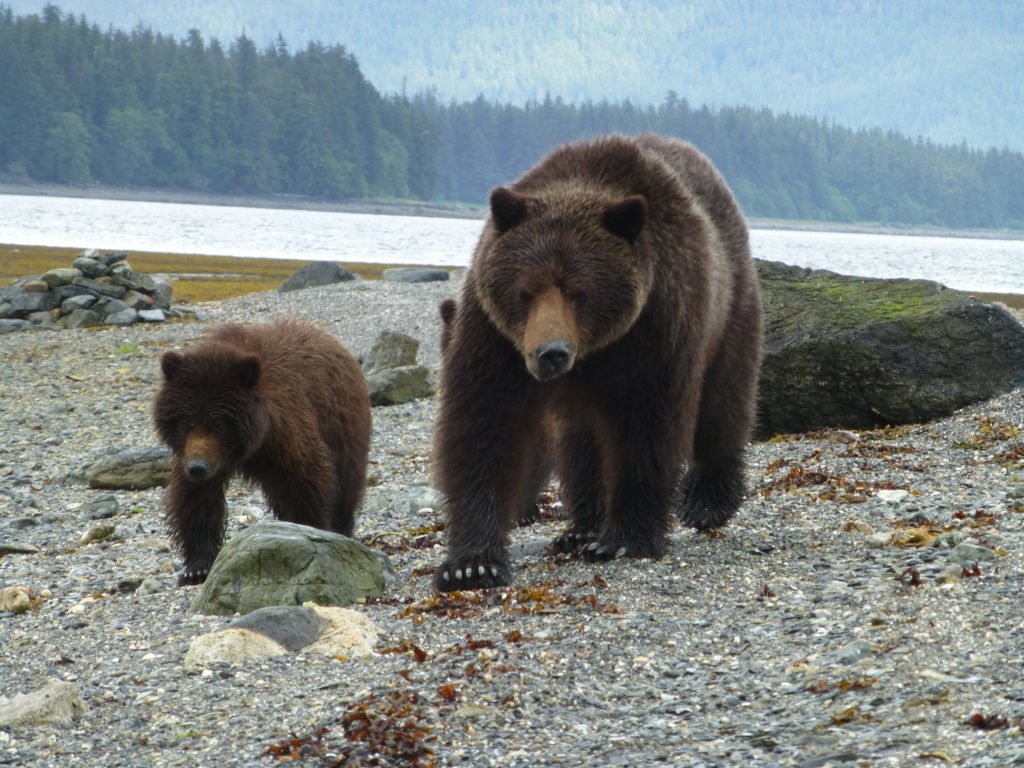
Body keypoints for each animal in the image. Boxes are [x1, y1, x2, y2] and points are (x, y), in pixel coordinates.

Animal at [153, 318, 371, 586]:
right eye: (187, 422)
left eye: (218, 423)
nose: (197, 467)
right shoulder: (191, 455)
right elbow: (195, 500)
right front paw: (197, 568)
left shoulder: (288, 431)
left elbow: (308, 476)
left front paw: (312, 529)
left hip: (342, 423)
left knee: (347, 477)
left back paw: (342, 527)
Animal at [432, 132, 763, 591]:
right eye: (525, 291)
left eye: (579, 292)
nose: (551, 353)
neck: (594, 352)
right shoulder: (496, 338)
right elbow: (483, 427)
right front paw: (472, 564)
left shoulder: (655, 329)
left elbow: (648, 428)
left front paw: (623, 540)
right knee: (580, 444)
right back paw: (581, 526)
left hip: (729, 310)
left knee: (723, 401)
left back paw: (707, 502)